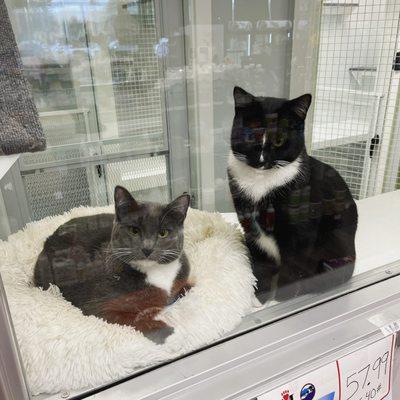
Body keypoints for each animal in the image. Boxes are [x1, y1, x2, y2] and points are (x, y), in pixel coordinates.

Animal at [34, 186, 191, 342]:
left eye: (163, 233)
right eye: (134, 230)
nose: (147, 248)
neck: (156, 272)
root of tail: (49, 238)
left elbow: (185, 288)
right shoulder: (100, 308)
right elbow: (131, 319)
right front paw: (168, 333)